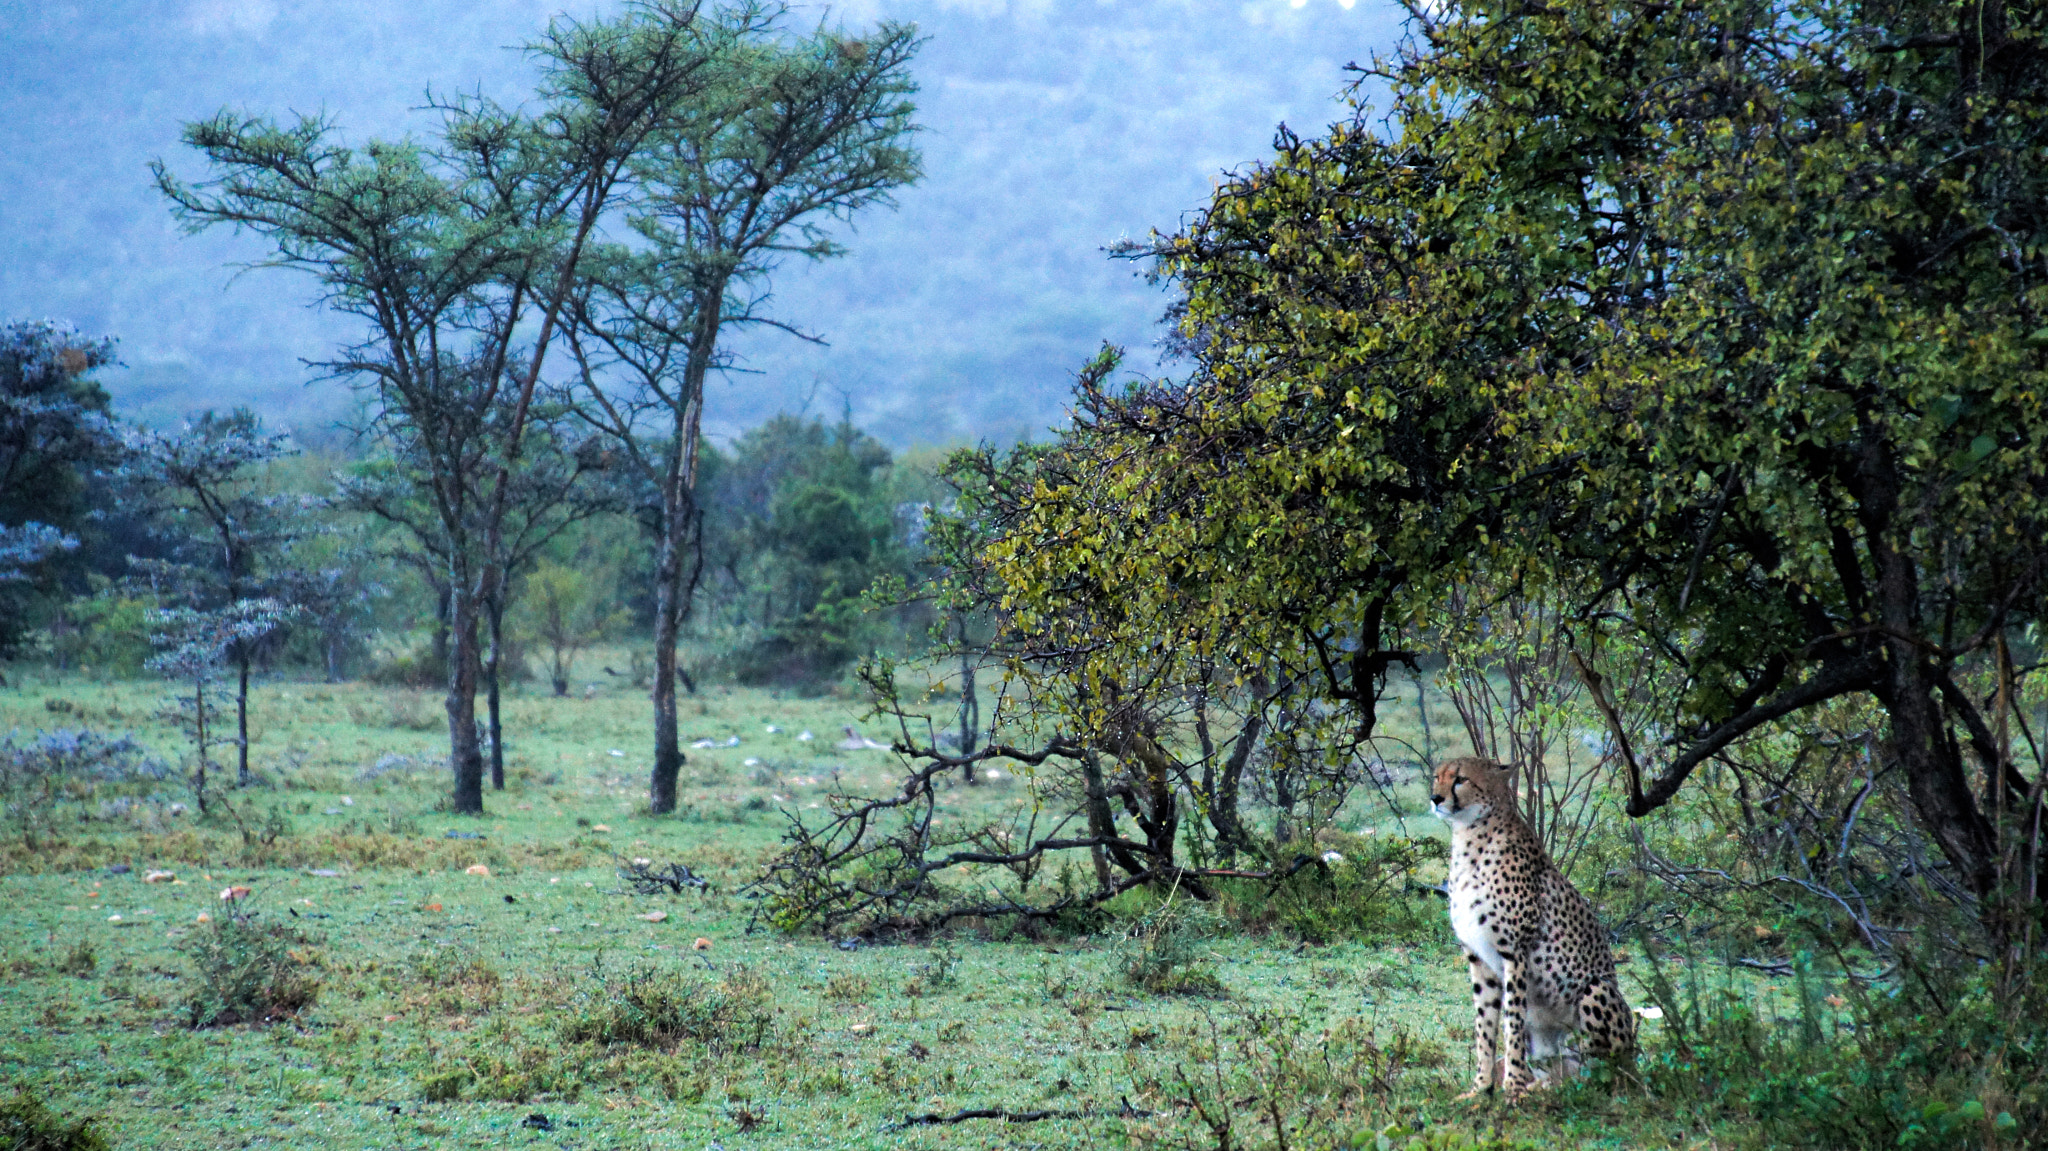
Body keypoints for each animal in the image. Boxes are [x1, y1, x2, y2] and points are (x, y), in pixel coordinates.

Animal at [1429, 756, 1634, 1101]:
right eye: (1436, 777)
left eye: (1460, 779)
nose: (1435, 798)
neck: (1470, 835)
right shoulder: (1479, 958)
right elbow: (1485, 1026)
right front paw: (1481, 1088)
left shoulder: (1514, 953)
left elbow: (1512, 1021)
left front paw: (1512, 1087)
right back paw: (1543, 1086)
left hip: (1596, 990)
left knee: (1601, 1072)